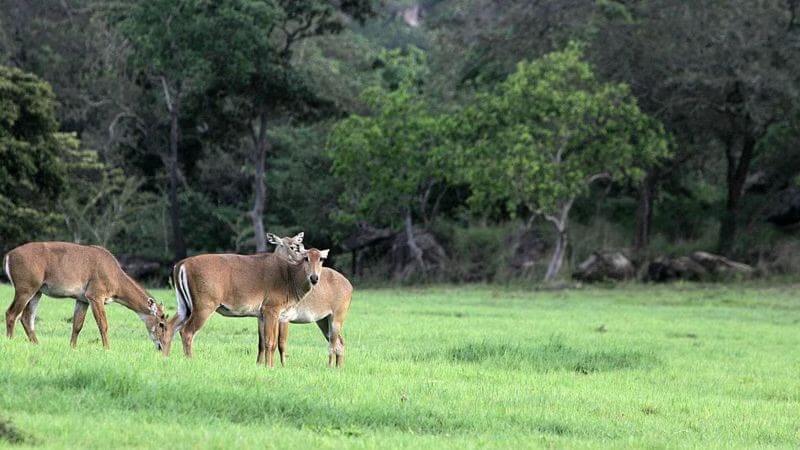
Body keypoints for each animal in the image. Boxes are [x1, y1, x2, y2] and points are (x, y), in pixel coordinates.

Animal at [3, 241, 167, 350]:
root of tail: (8, 256)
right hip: (25, 288)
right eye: (161, 323)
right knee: (11, 314)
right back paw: (10, 341)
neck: (116, 278)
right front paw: (107, 349)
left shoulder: (82, 299)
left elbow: (77, 325)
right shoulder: (95, 295)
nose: (162, 346)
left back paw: (37, 344)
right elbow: (103, 324)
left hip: (37, 291)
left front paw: (72, 347)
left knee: (26, 317)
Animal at [162, 234, 328, 368]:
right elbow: (270, 342)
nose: (314, 278)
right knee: (187, 331)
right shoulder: (271, 308)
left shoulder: (263, 314)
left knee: (170, 327)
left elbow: (264, 342)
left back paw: (166, 357)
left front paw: (263, 365)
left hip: (184, 305)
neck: (289, 279)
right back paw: (190, 360)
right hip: (204, 305)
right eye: (306, 257)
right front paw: (270, 367)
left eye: (321, 259)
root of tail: (180, 265)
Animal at [268, 236, 354, 366]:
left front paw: (283, 366)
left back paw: (330, 366)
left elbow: (281, 343)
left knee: (333, 344)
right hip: (323, 320)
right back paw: (338, 367)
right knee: (339, 343)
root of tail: (349, 284)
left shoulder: (285, 317)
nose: (314, 278)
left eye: (321, 259)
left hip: (337, 318)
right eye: (282, 244)